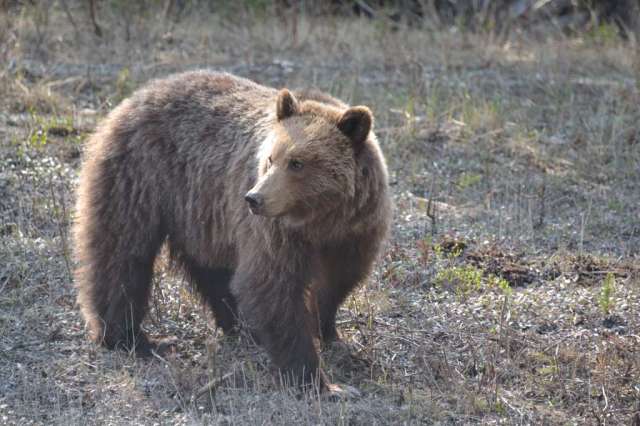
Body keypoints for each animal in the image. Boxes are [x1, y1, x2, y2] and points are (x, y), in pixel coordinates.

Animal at [73, 70, 391, 392]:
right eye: (271, 159)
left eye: (297, 163)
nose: (254, 198)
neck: (320, 221)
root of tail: (141, 93)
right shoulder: (275, 233)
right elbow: (271, 287)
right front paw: (315, 378)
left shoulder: (354, 234)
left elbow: (337, 283)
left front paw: (328, 332)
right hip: (143, 177)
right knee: (121, 254)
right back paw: (132, 338)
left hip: (200, 211)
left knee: (211, 269)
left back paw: (238, 324)